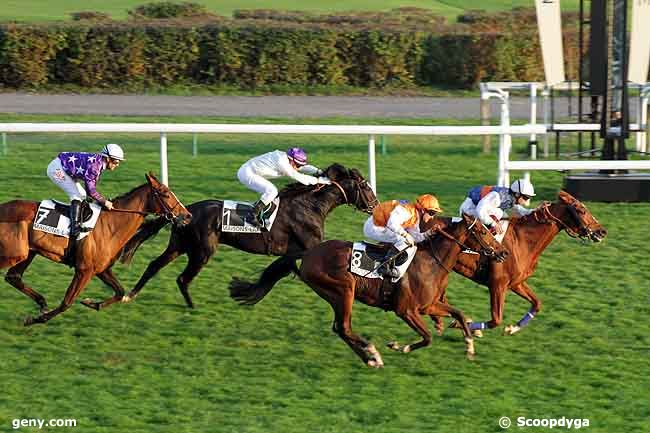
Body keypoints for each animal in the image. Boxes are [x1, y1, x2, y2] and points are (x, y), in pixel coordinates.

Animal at [0, 172, 190, 324]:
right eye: (165, 194)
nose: (187, 215)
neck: (110, 225)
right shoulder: (84, 270)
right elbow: (67, 302)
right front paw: (35, 319)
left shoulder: (101, 269)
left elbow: (120, 291)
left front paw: (91, 303)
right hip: (14, 254)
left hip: (28, 253)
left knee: (13, 277)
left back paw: (42, 303)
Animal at [119, 162, 378, 308]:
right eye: (365, 186)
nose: (375, 205)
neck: (310, 206)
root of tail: (185, 210)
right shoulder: (307, 248)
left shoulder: (295, 252)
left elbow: (280, 270)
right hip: (202, 251)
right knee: (182, 278)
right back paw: (192, 306)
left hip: (179, 245)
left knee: (154, 265)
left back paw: (130, 294)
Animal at [230, 214, 508, 366]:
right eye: (482, 231)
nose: (503, 252)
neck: (432, 261)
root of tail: (308, 253)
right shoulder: (406, 310)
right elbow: (428, 336)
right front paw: (399, 347)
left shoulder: (428, 305)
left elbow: (458, 314)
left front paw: (470, 346)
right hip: (344, 290)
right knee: (344, 327)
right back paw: (373, 354)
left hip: (336, 294)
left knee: (340, 329)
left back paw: (369, 358)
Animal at [450, 189, 608, 334]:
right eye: (582, 210)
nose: (602, 231)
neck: (522, 241)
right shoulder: (497, 285)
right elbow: (496, 320)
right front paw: (461, 324)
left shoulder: (516, 283)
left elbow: (537, 303)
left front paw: (512, 328)